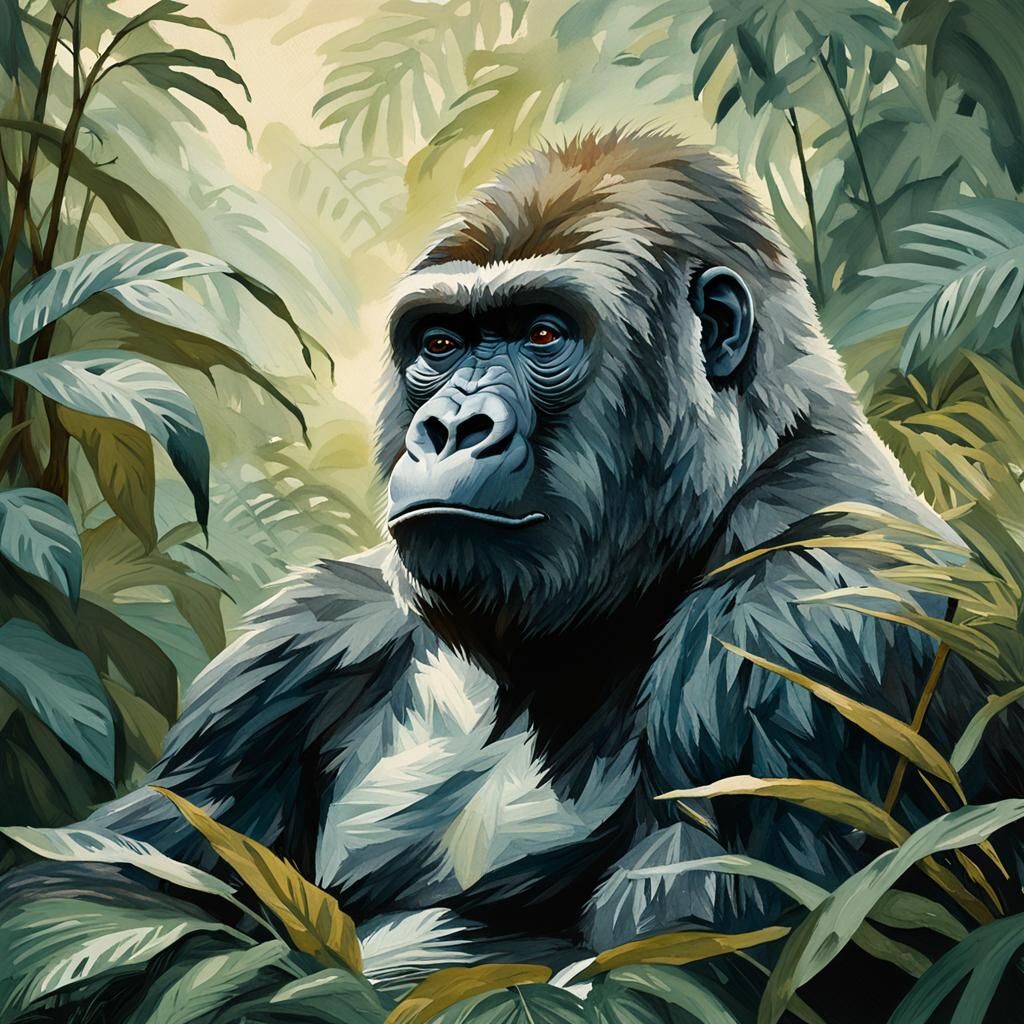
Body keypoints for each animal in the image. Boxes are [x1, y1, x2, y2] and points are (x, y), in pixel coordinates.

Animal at [2, 128, 1023, 1022]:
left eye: (541, 334)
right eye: (441, 345)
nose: (450, 427)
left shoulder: (807, 620)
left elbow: (675, 971)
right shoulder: (304, 640)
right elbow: (100, 878)